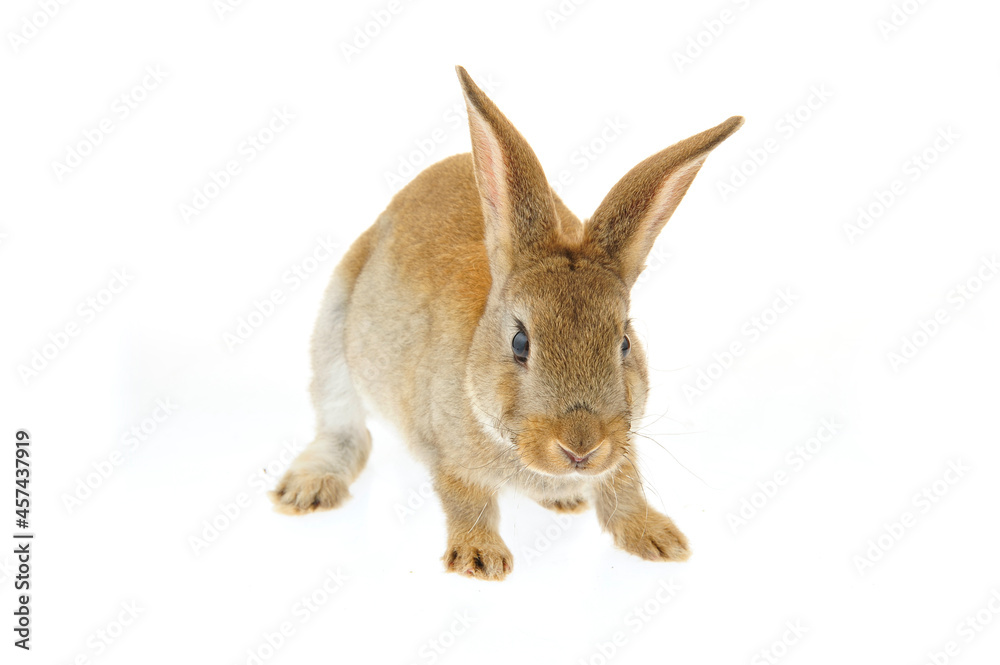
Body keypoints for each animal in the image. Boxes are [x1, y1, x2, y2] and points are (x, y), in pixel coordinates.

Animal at [269, 66, 743, 580]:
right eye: (520, 342)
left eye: (623, 343)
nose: (581, 447)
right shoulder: (448, 455)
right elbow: (466, 499)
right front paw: (480, 559)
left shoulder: (622, 447)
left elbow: (624, 488)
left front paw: (659, 541)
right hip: (332, 333)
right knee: (345, 431)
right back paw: (306, 490)